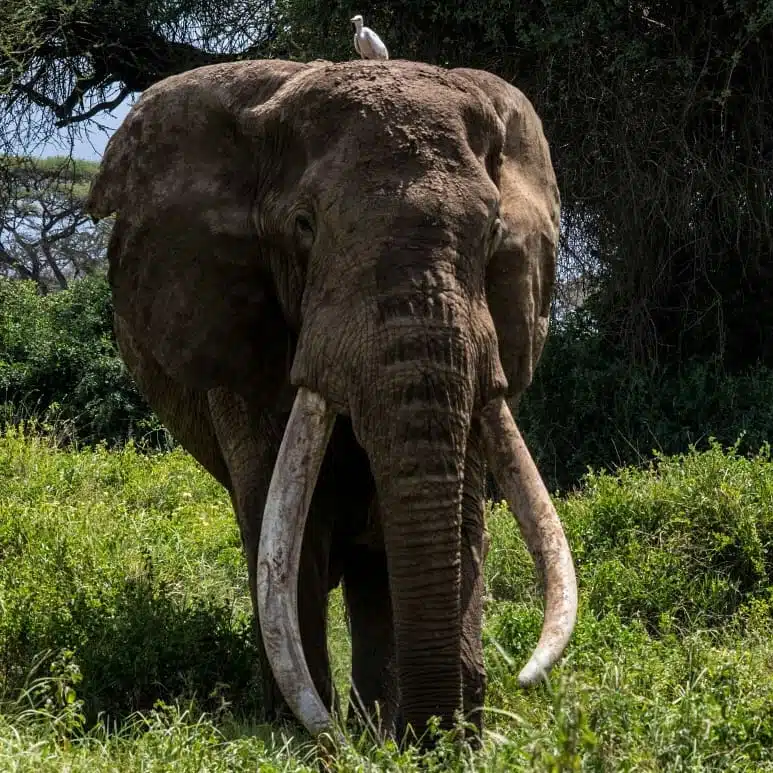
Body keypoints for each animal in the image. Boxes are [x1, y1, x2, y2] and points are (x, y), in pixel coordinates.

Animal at [85, 57, 577, 745]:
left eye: (495, 231)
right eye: (304, 227)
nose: (431, 738)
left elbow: (461, 520)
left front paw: (445, 745)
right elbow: (290, 530)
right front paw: (312, 742)